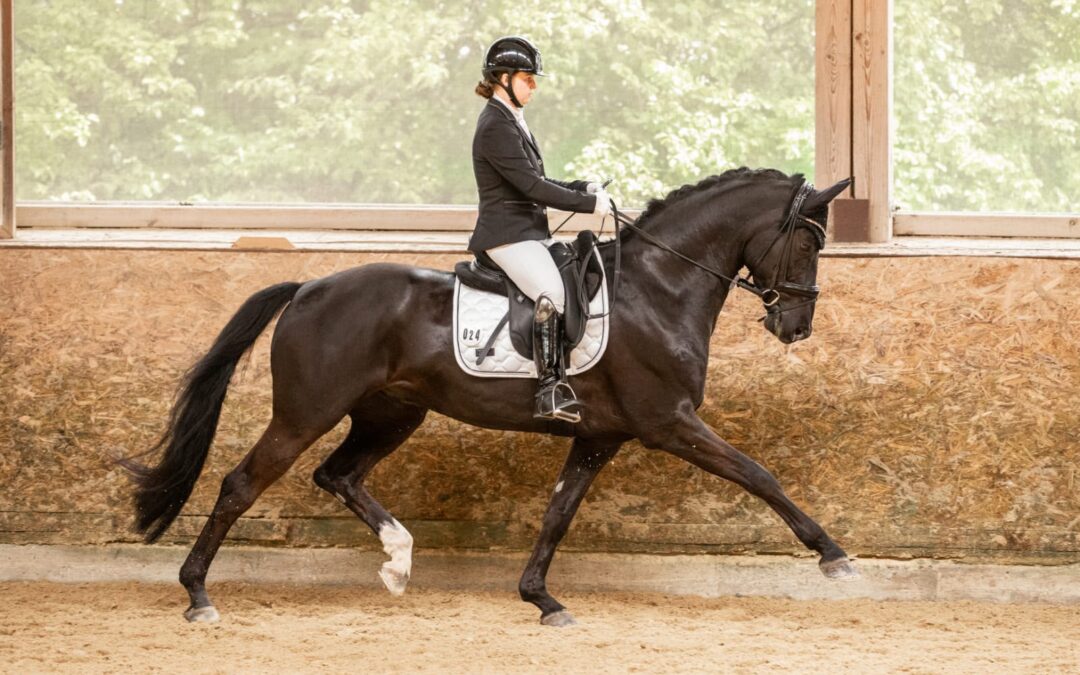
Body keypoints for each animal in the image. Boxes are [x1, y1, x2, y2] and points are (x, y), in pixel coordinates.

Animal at [121, 167, 856, 626]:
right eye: (808, 241)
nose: (796, 326)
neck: (659, 287)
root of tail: (306, 288)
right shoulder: (669, 422)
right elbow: (758, 474)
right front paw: (833, 556)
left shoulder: (599, 436)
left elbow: (557, 515)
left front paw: (541, 599)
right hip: (307, 411)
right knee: (241, 484)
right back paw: (198, 594)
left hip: (392, 412)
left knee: (337, 474)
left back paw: (398, 559)